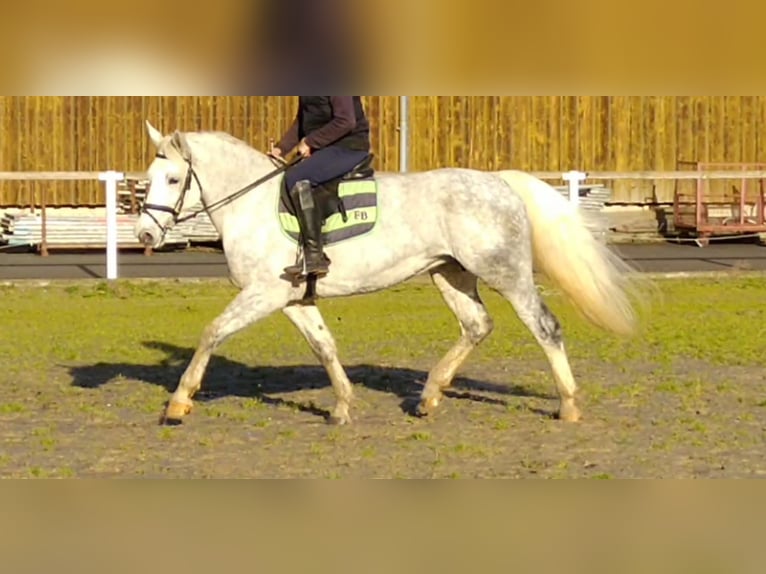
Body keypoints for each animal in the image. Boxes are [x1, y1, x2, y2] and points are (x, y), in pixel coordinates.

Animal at [136, 121, 644, 427]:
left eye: (174, 180)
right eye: (148, 178)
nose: (144, 233)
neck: (252, 205)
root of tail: (498, 180)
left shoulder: (264, 294)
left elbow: (212, 332)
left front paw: (178, 402)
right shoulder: (293, 298)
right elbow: (324, 346)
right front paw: (342, 406)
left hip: (506, 273)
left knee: (545, 328)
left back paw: (568, 405)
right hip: (450, 273)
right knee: (477, 325)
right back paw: (429, 395)